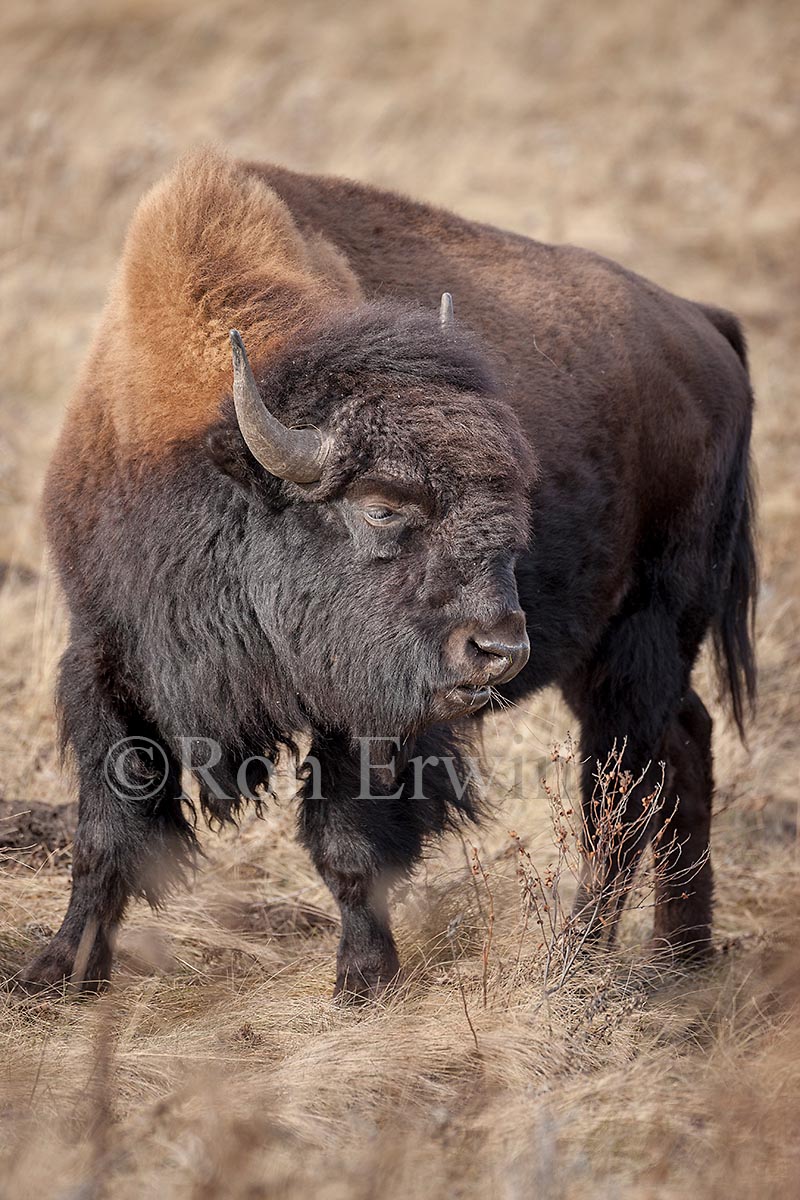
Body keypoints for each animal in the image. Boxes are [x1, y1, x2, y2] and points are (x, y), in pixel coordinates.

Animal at [20, 147, 758, 993]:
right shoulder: (107, 659)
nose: (499, 649)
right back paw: (682, 955)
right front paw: (58, 971)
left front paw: (364, 979)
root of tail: (704, 326)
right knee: (682, 746)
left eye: (514, 492)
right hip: (613, 654)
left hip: (646, 633)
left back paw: (579, 958)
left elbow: (347, 843)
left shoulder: (372, 711)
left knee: (622, 795)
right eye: (380, 505)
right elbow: (105, 831)